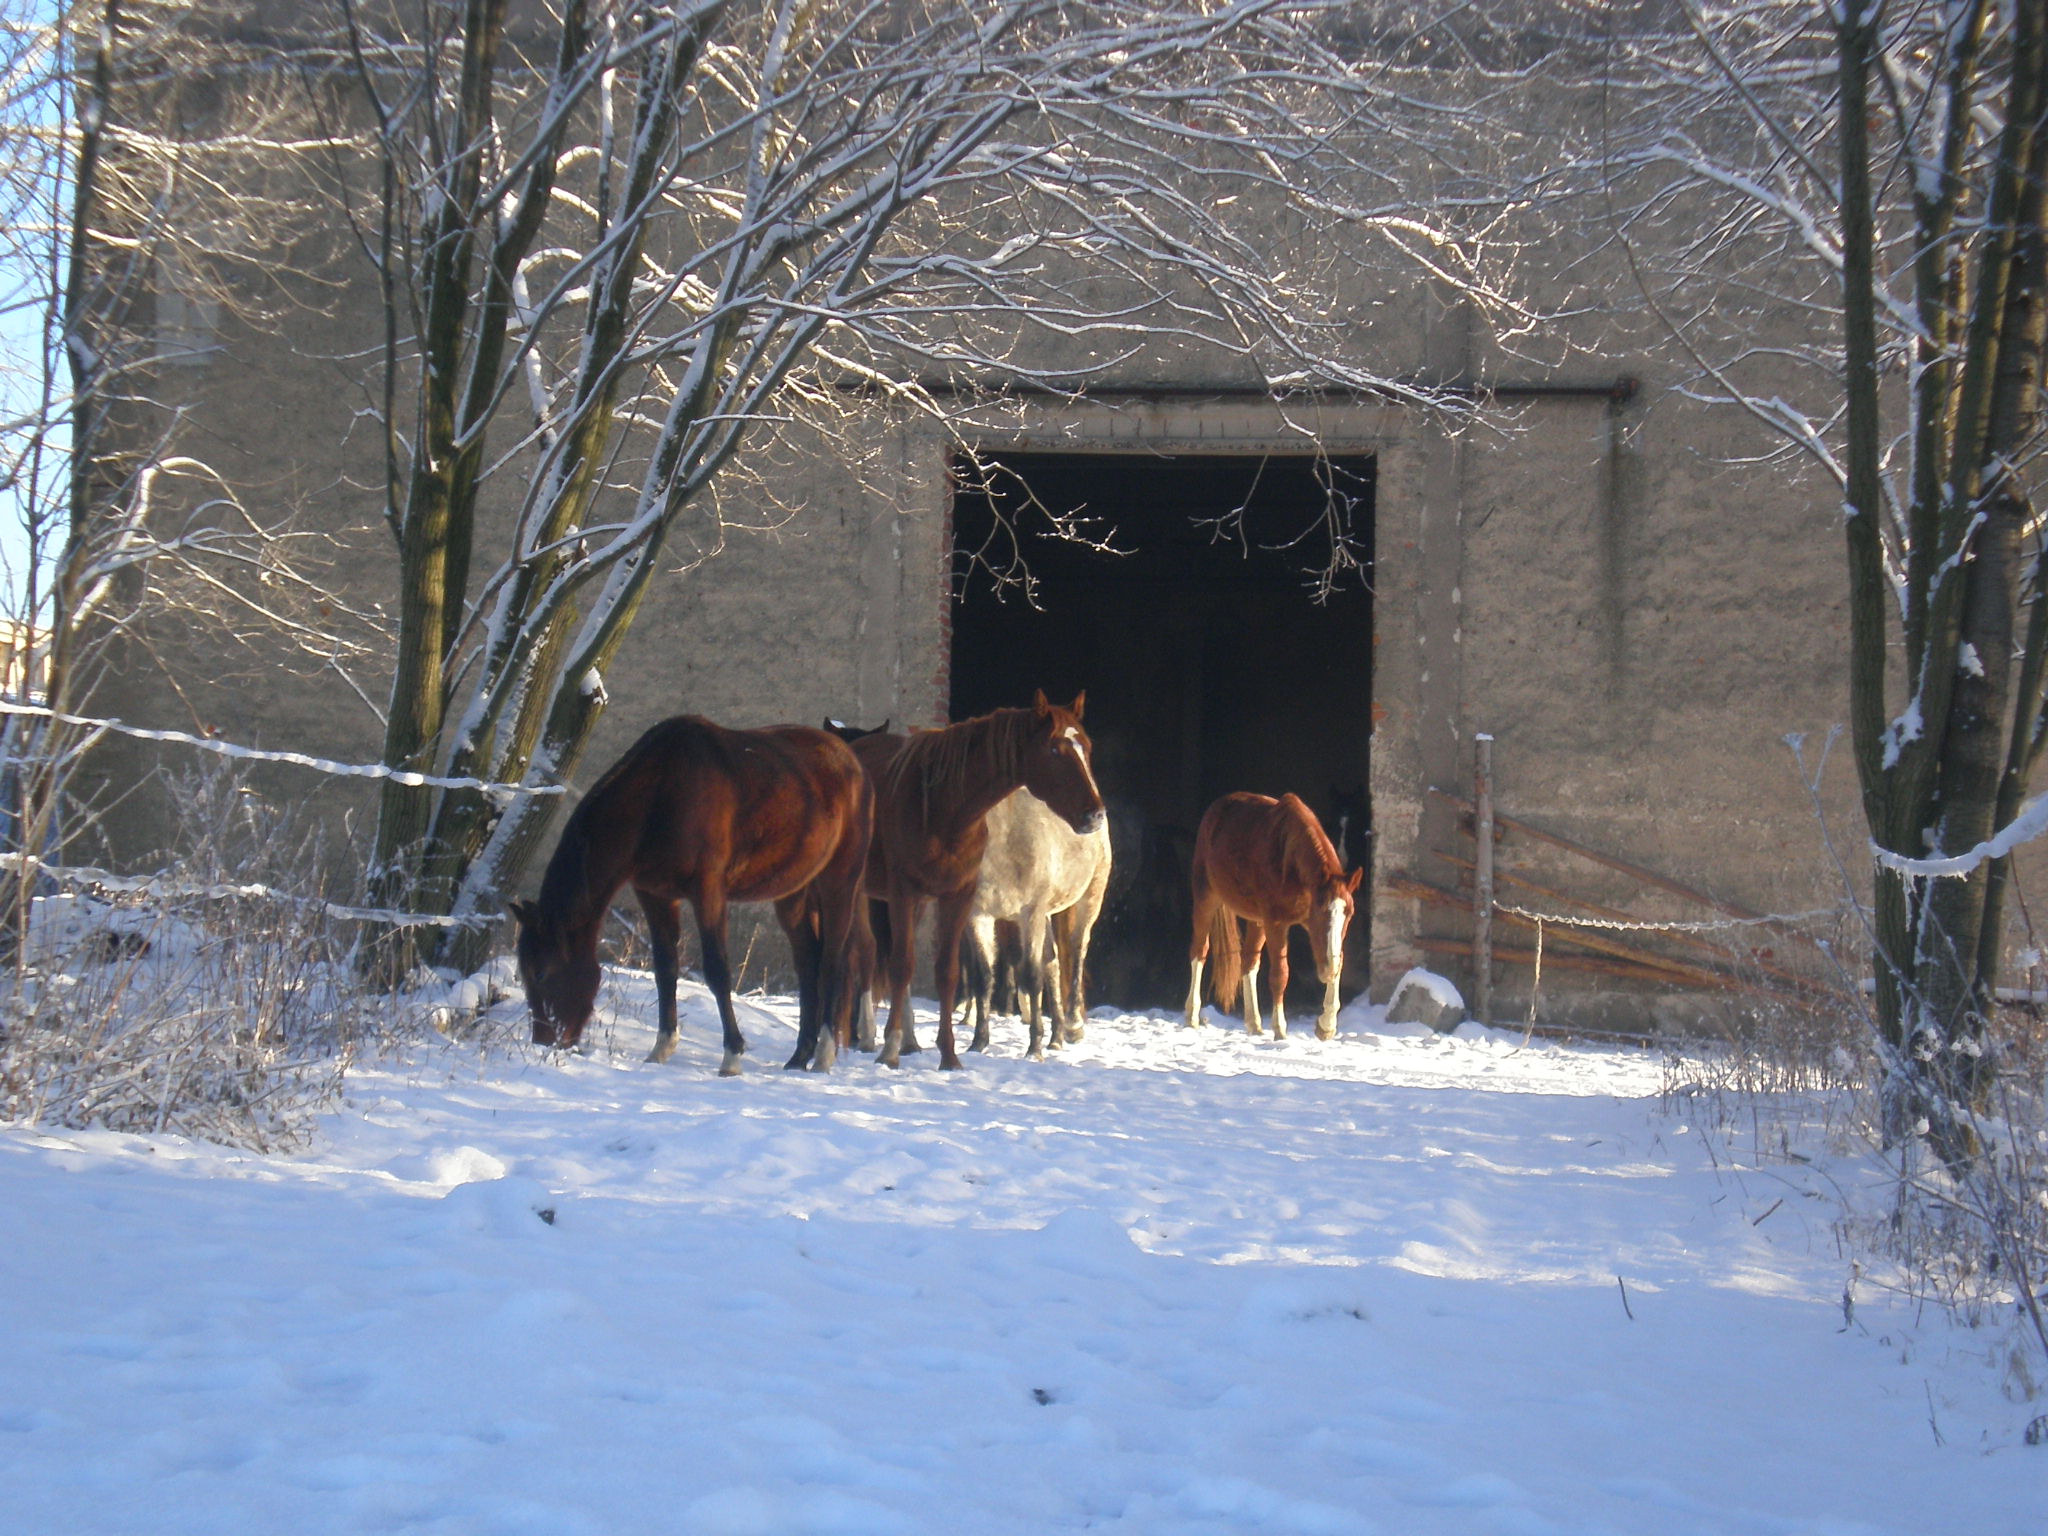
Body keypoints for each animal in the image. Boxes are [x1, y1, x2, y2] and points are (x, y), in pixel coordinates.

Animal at [512, 720, 872, 1073]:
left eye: (541, 972)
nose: (544, 1040)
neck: (661, 793)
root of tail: (848, 758)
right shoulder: (655, 894)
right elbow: (665, 967)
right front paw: (661, 1048)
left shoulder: (707, 891)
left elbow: (716, 969)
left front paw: (732, 1055)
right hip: (793, 892)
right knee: (808, 960)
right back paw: (799, 1056)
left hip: (839, 882)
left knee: (832, 960)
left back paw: (824, 1054)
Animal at [847, 696, 1105, 1073]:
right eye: (1055, 749)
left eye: (1086, 746)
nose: (1094, 814)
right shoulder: (922, 898)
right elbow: (919, 967)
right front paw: (897, 1049)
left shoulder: (982, 903)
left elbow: (967, 972)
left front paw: (957, 1054)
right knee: (861, 951)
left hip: (1085, 902)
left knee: (1070, 954)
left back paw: (1067, 1028)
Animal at [1187, 794, 1359, 1048]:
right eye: (1321, 911)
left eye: (1349, 913)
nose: (1327, 969)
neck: (1290, 861)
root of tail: (1218, 806)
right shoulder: (1277, 924)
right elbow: (1280, 974)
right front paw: (1280, 1029)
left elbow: (1337, 962)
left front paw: (1326, 1026)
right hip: (1205, 898)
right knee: (1199, 951)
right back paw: (1191, 1015)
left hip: (1256, 921)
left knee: (1249, 962)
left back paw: (1254, 1023)